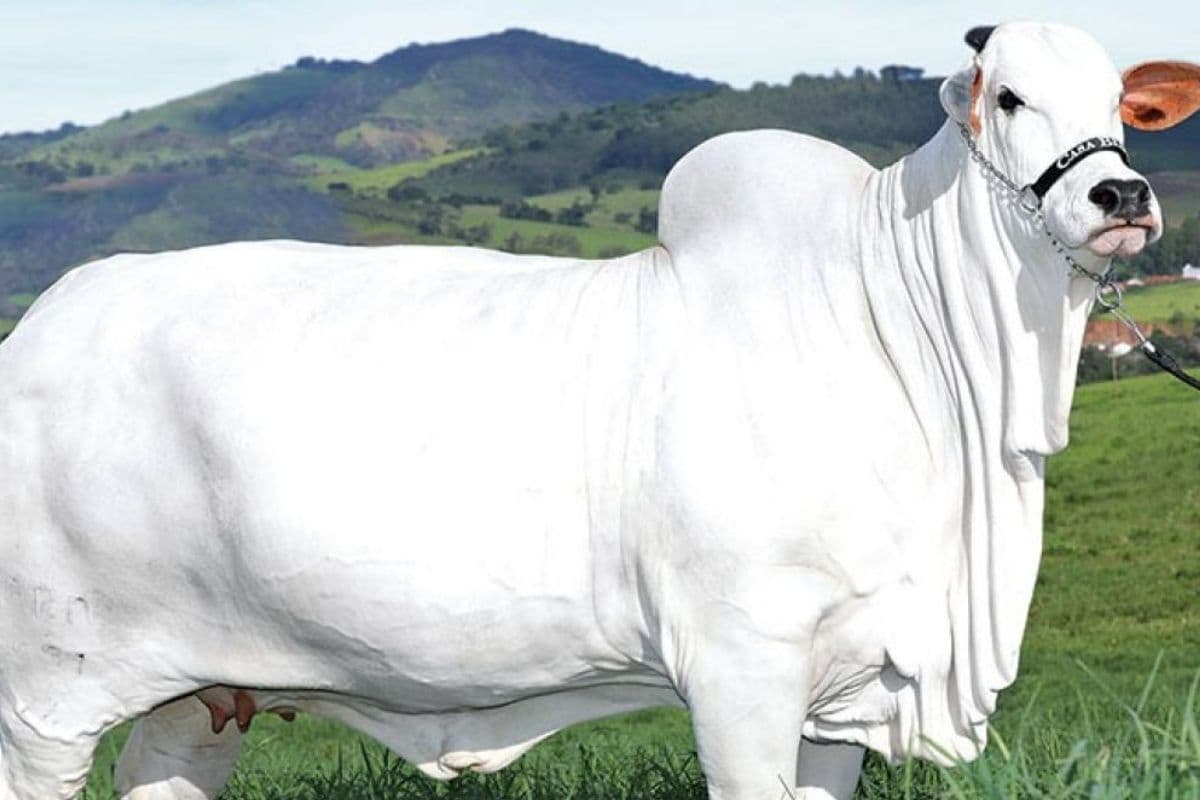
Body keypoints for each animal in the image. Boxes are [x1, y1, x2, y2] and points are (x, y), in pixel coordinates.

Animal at [1, 21, 1198, 800]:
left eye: (1121, 106)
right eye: (1010, 97)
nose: (1124, 195)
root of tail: (41, 325)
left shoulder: (844, 685)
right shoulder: (740, 663)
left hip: (202, 692)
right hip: (47, 692)